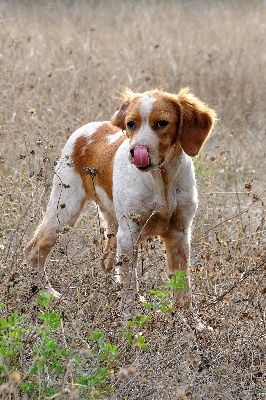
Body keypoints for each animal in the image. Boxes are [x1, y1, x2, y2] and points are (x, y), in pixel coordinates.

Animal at [24, 87, 216, 312]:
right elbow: (129, 283)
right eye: (131, 124)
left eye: (161, 123)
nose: (135, 152)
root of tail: (88, 128)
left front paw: (188, 319)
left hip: (110, 224)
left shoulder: (180, 234)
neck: (162, 181)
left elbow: (182, 288)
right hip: (65, 210)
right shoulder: (129, 234)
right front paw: (132, 317)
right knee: (34, 249)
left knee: (106, 263)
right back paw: (47, 294)